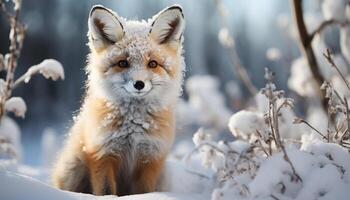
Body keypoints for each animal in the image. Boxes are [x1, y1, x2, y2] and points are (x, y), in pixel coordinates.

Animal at [51, 4, 186, 195]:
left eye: (152, 64)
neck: (134, 126)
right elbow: (106, 190)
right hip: (74, 169)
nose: (139, 84)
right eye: (123, 63)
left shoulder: (151, 158)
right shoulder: (102, 154)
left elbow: (144, 191)